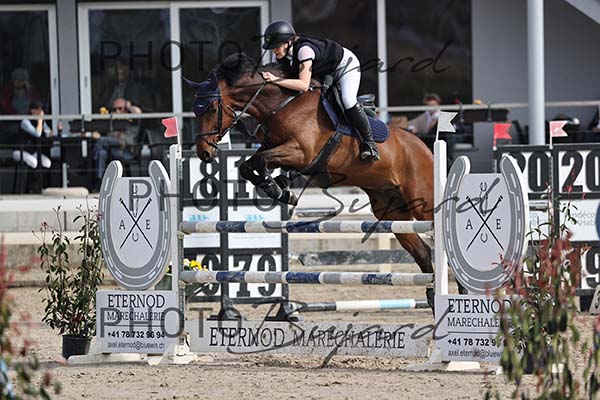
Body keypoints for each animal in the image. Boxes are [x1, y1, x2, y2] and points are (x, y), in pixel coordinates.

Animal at [187, 53, 457, 308]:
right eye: (195, 110)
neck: (281, 105)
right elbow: (249, 165)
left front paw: (277, 188)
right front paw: (279, 189)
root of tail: (427, 149)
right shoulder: (274, 148)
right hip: (392, 211)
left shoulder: (301, 153)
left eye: (211, 108)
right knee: (422, 251)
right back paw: (433, 299)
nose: (204, 153)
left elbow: (260, 161)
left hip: (423, 204)